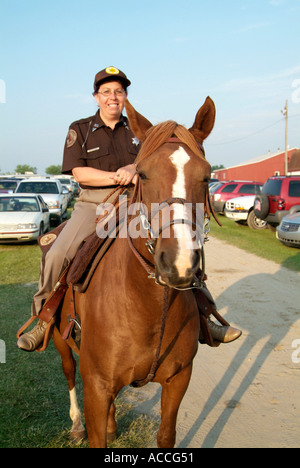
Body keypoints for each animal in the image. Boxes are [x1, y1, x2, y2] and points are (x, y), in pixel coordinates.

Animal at [52, 97, 216, 448]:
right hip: (61, 342)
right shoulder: (96, 387)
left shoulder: (178, 379)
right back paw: (76, 425)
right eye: (142, 173)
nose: (178, 263)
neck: (148, 306)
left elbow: (166, 436)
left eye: (207, 177)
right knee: (68, 371)